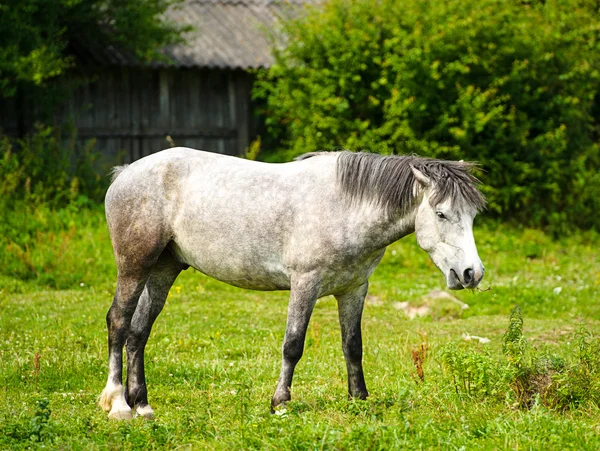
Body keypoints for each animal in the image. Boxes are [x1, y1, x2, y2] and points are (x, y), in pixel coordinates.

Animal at [97, 148, 482, 420]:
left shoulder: (354, 289)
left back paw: (142, 405)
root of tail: (124, 173)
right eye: (441, 213)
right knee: (118, 321)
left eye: (473, 215)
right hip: (134, 266)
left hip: (163, 270)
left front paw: (359, 399)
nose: (472, 273)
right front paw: (280, 403)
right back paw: (118, 405)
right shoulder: (305, 284)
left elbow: (353, 346)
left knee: (138, 332)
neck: (346, 206)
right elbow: (293, 345)